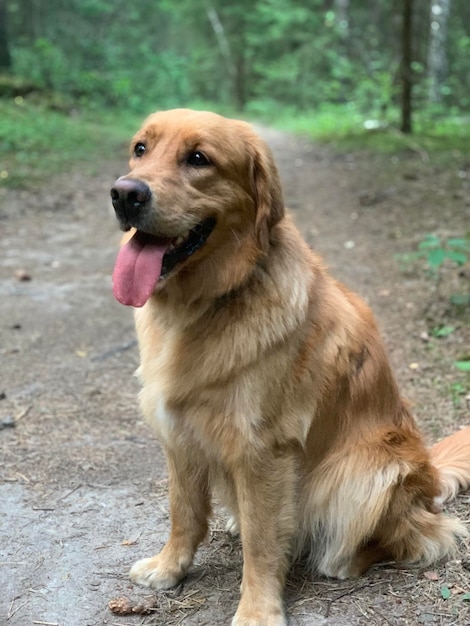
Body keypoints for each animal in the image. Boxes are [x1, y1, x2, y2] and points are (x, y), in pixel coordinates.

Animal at [112, 109, 470, 620]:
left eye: (198, 159)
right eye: (140, 149)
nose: (125, 193)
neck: (213, 301)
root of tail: (430, 475)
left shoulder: (263, 448)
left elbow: (263, 544)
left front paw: (258, 611)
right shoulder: (179, 433)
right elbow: (184, 512)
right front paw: (169, 567)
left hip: (363, 471)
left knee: (419, 535)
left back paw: (344, 560)